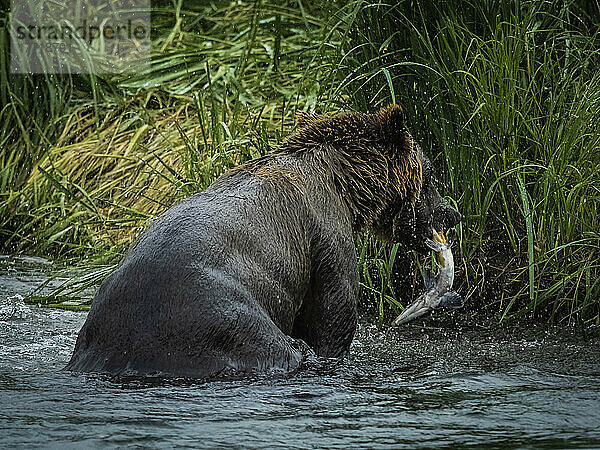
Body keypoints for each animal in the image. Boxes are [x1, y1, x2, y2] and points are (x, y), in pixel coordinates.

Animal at [64, 105, 460, 380]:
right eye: (431, 174)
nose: (451, 214)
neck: (346, 185)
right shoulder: (325, 232)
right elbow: (332, 314)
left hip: (100, 332)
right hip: (223, 317)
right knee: (279, 345)